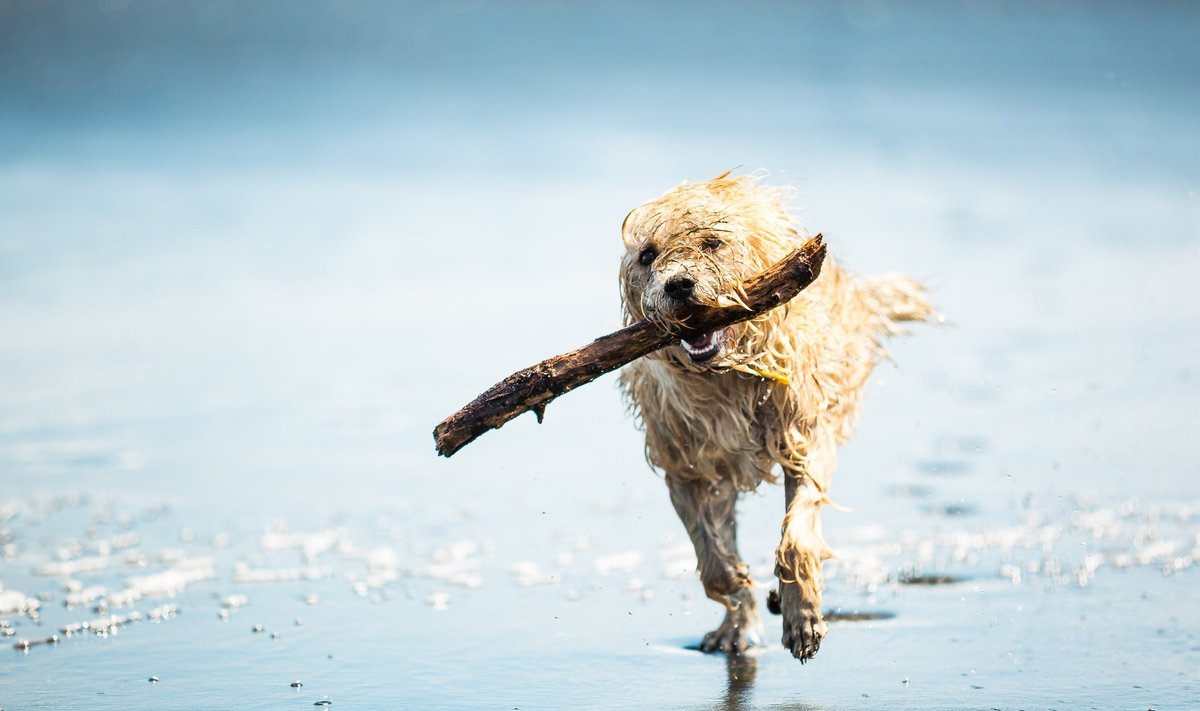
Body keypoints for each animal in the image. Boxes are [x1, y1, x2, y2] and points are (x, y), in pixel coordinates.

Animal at [619, 171, 936, 662]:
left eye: (713, 243)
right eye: (647, 255)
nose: (678, 285)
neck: (730, 378)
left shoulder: (806, 440)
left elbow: (797, 538)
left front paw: (801, 616)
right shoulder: (686, 469)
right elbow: (713, 557)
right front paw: (737, 586)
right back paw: (737, 624)